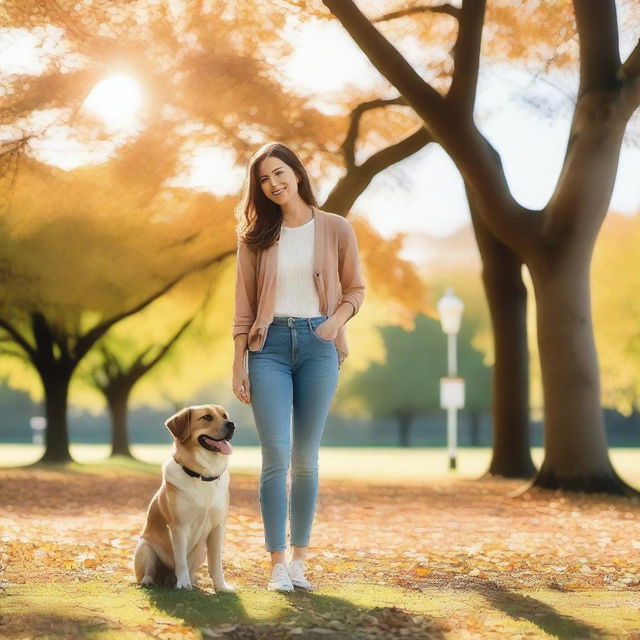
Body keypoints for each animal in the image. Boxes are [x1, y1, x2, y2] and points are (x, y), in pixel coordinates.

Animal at [132, 404, 235, 592]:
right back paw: (149, 581)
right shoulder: (179, 527)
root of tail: (166, 578)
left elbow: (216, 563)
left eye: (224, 416)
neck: (202, 475)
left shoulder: (218, 527)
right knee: (148, 571)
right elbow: (180, 561)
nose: (232, 425)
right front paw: (184, 584)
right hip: (144, 547)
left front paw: (221, 587)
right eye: (207, 417)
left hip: (201, 552)